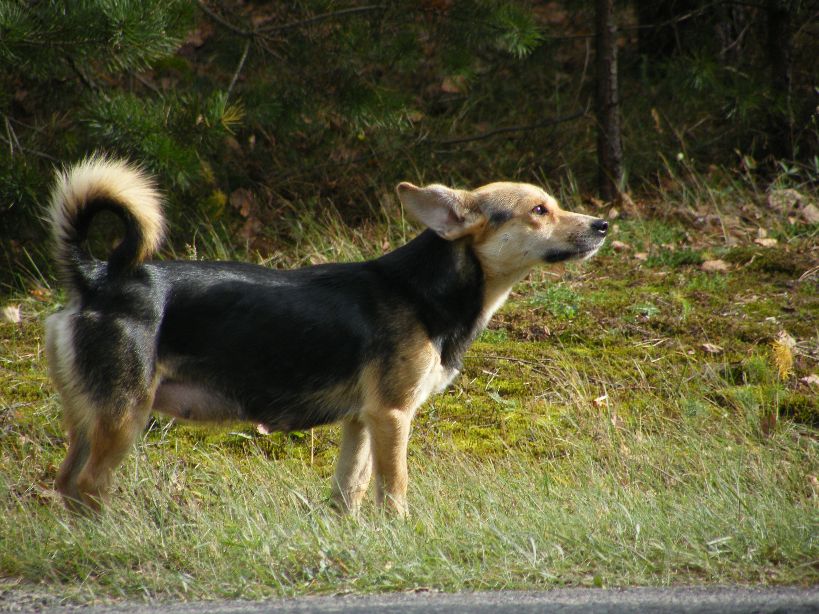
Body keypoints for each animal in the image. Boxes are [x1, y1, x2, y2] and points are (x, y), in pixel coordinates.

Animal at [46, 158, 608, 516]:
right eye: (539, 210)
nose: (603, 224)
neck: (423, 289)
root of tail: (97, 277)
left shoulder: (361, 422)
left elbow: (349, 492)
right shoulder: (392, 416)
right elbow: (393, 490)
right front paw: (400, 531)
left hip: (89, 417)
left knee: (66, 483)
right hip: (124, 417)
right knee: (90, 486)